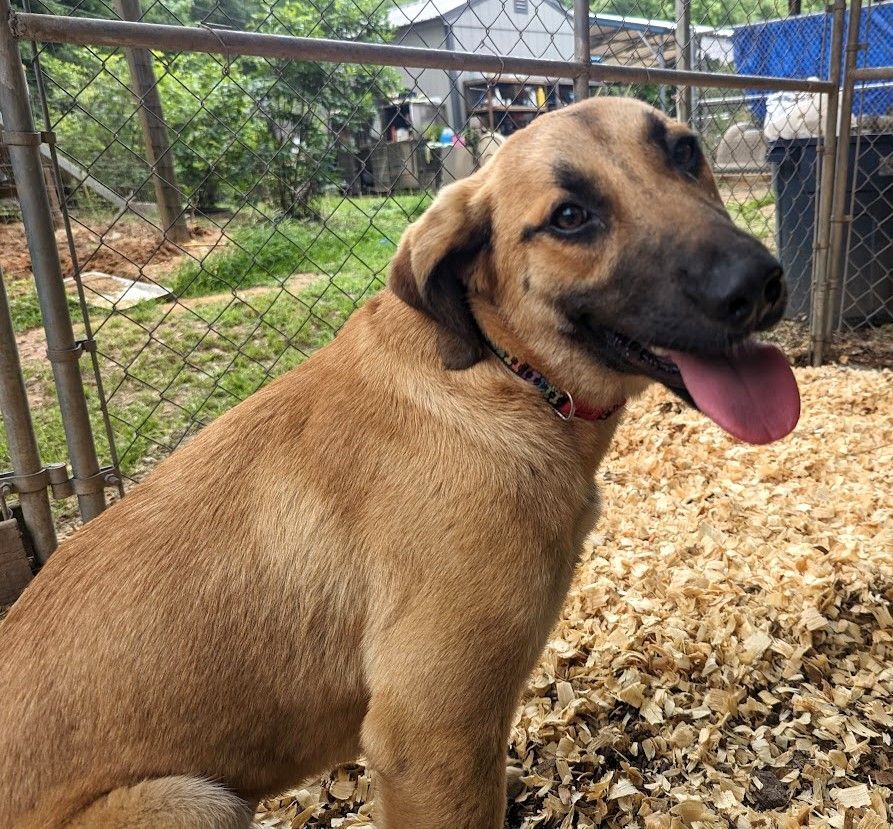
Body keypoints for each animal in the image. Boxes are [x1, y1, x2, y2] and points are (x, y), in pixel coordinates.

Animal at [0, 94, 796, 824]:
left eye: (685, 151)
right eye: (569, 217)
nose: (758, 283)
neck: (503, 370)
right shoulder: (430, 730)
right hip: (188, 799)